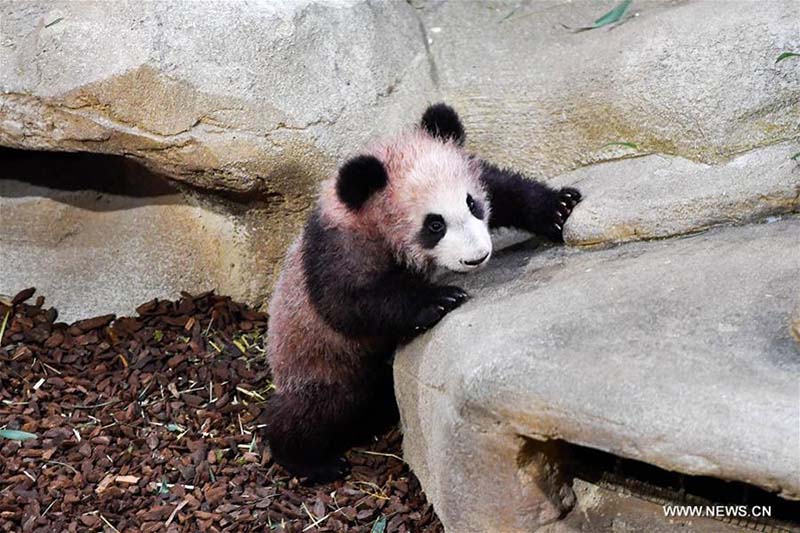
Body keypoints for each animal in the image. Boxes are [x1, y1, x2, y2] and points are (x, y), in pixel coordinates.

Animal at [263, 103, 581, 482]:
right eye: (434, 225)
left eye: (472, 204)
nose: (478, 256)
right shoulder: (340, 248)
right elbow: (347, 301)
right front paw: (440, 299)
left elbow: (502, 188)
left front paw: (558, 208)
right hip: (318, 358)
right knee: (317, 408)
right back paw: (311, 460)